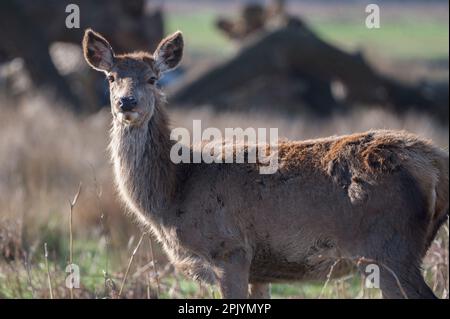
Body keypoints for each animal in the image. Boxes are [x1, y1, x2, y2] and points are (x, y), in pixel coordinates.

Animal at [82, 28, 448, 300]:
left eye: (153, 78)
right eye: (111, 77)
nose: (126, 102)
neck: (174, 192)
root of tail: (435, 162)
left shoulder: (229, 249)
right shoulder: (260, 268)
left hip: (388, 247)